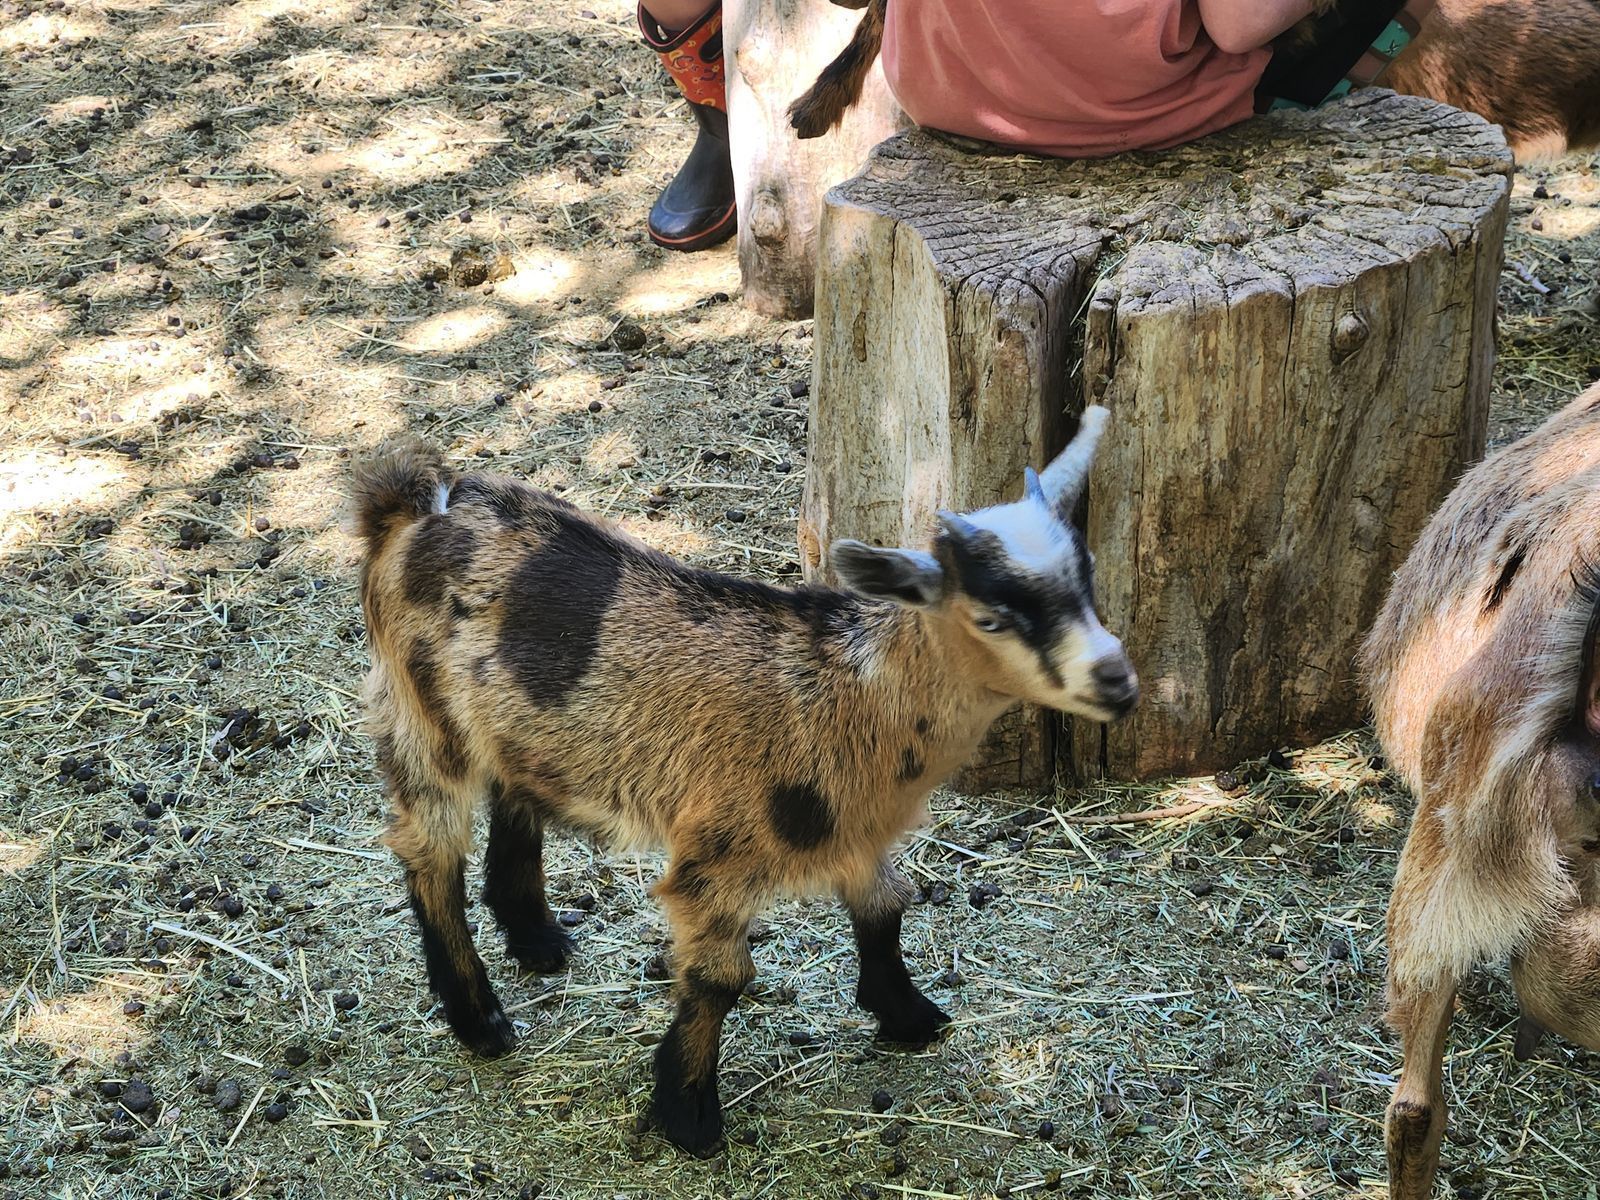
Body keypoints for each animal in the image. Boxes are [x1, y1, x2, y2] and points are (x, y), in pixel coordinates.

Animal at [351, 408, 1137, 1155]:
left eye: (1089, 578)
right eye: (991, 617)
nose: (1118, 681)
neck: (852, 697)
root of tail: (407, 506)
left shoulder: (854, 831)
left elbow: (885, 907)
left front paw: (910, 1016)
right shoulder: (718, 855)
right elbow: (721, 979)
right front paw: (688, 1116)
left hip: (510, 723)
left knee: (513, 793)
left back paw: (538, 939)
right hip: (422, 715)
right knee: (429, 852)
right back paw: (479, 1019)